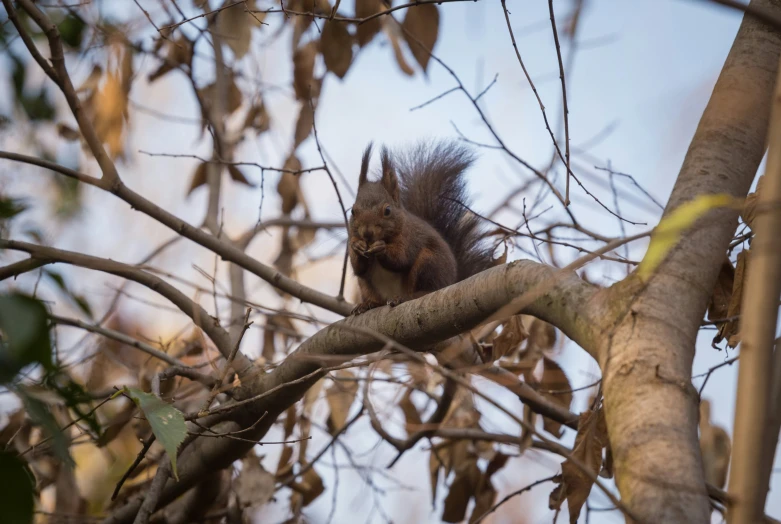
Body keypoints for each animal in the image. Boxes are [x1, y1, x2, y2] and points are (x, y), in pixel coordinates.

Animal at [348, 139, 490, 316]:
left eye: (387, 210)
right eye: (352, 211)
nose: (367, 233)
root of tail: (452, 281)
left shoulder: (410, 238)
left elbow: (401, 259)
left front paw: (382, 248)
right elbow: (358, 268)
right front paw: (358, 247)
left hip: (429, 263)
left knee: (428, 289)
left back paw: (407, 297)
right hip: (365, 286)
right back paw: (369, 304)